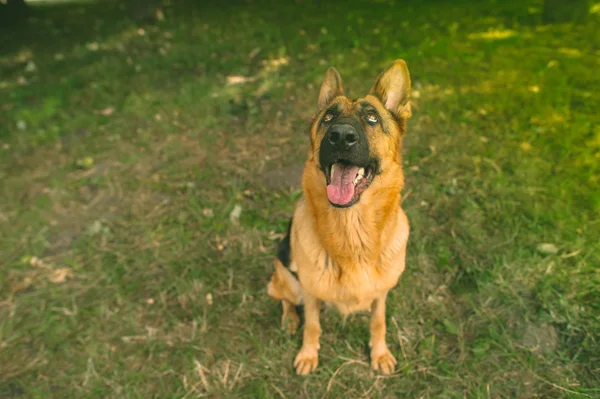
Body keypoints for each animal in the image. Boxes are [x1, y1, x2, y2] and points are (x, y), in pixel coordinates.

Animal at [268, 59, 412, 376]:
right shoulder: (310, 293)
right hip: (287, 279)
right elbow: (312, 325)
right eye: (329, 117)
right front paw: (308, 355)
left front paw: (379, 353)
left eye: (372, 118)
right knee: (284, 299)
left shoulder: (381, 294)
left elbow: (378, 322)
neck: (352, 231)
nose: (340, 137)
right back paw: (289, 320)